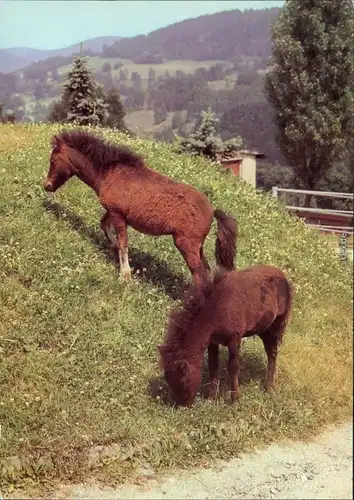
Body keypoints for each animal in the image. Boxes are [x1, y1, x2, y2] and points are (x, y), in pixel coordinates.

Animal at [43, 129, 238, 284]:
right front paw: (112, 247)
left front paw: (125, 275)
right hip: (199, 247)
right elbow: (104, 226)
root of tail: (212, 210)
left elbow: (123, 244)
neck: (110, 173)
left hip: (186, 245)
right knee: (206, 271)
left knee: (199, 275)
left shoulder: (118, 215)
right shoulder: (113, 212)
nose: (46, 186)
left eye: (52, 160)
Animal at [158, 266, 294, 406]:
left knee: (272, 354)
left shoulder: (234, 340)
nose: (182, 404)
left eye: (182, 380)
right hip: (263, 329)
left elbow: (233, 368)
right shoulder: (212, 341)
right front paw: (211, 396)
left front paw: (235, 399)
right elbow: (213, 365)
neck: (216, 310)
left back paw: (270, 387)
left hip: (273, 328)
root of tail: (283, 277)